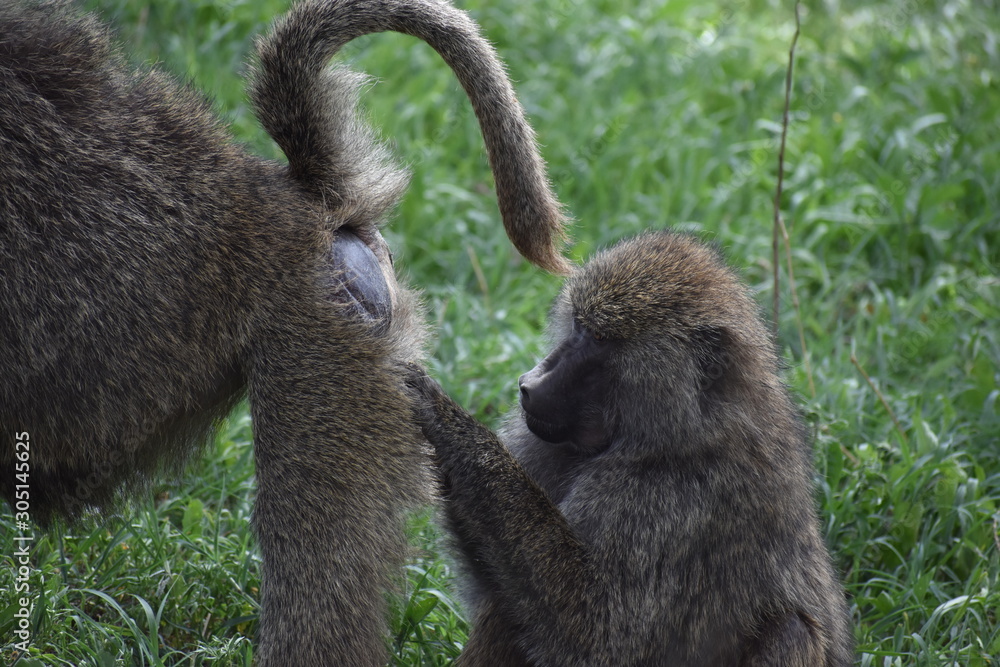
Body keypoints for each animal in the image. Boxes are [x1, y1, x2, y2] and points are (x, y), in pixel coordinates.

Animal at [407, 231, 854, 666]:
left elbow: (598, 629)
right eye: (577, 325)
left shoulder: (672, 498)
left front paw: (450, 422)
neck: (684, 429)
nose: (530, 384)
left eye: (599, 339)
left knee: (791, 630)